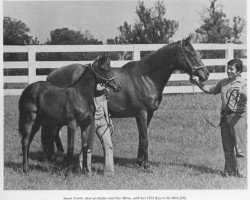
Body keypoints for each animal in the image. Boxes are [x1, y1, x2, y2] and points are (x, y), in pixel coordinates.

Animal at [46, 35, 209, 170]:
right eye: (190, 53)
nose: (205, 74)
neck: (146, 78)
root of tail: (50, 75)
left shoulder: (148, 114)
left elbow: (142, 137)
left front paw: (139, 161)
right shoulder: (141, 113)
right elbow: (145, 139)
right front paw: (146, 166)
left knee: (53, 133)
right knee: (52, 132)